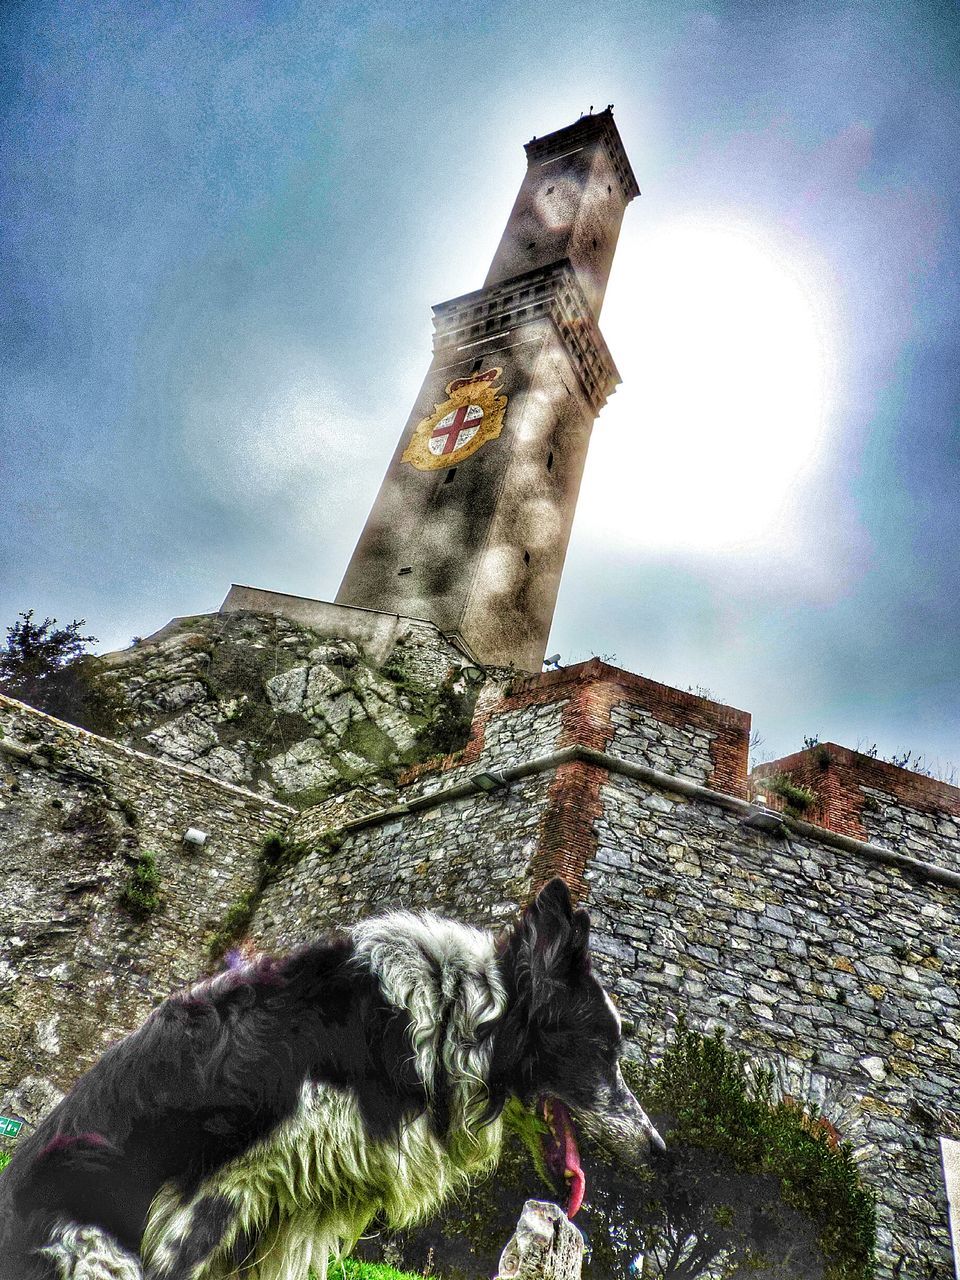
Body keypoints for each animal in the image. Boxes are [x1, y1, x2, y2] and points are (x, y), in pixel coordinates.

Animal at [0, 880, 660, 1280]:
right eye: (603, 1050)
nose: (660, 1152)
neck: (451, 1017)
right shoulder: (218, 1195)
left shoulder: (295, 1218)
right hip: (91, 1227)